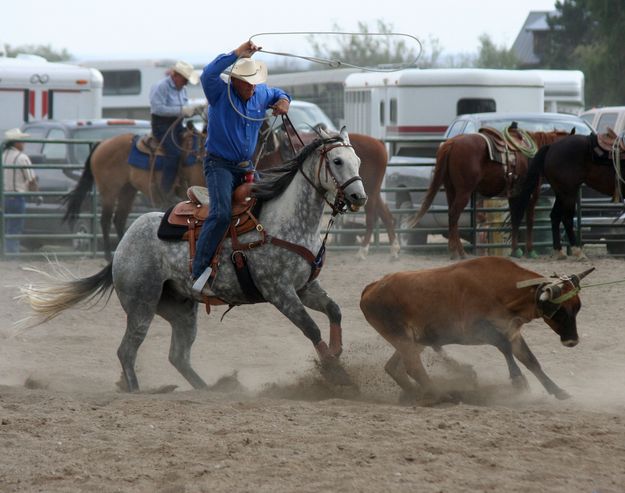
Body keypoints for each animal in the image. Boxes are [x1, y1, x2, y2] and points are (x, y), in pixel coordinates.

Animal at [61, 125, 202, 260]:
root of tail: (103, 143)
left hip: (127, 190)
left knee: (119, 220)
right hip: (109, 191)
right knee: (106, 220)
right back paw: (108, 255)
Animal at [256, 125, 398, 260]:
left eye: (358, 161)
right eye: (337, 161)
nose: (358, 197)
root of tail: (379, 142)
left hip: (369, 192)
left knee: (371, 218)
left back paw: (362, 251)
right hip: (371, 192)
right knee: (385, 215)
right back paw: (393, 250)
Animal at [358, 256, 592, 402]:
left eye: (577, 308)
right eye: (560, 311)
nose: (572, 340)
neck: (501, 291)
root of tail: (371, 288)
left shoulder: (513, 332)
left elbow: (532, 361)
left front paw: (557, 390)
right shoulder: (478, 330)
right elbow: (504, 347)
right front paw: (518, 381)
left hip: (415, 341)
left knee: (394, 368)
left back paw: (418, 393)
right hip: (402, 338)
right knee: (413, 367)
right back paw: (439, 395)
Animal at [408, 129, 572, 260]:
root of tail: (452, 143)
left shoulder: (514, 195)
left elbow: (515, 219)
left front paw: (515, 251)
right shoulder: (531, 195)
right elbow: (529, 221)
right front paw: (530, 252)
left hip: (450, 190)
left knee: (451, 216)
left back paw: (453, 252)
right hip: (464, 192)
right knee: (454, 215)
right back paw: (460, 253)